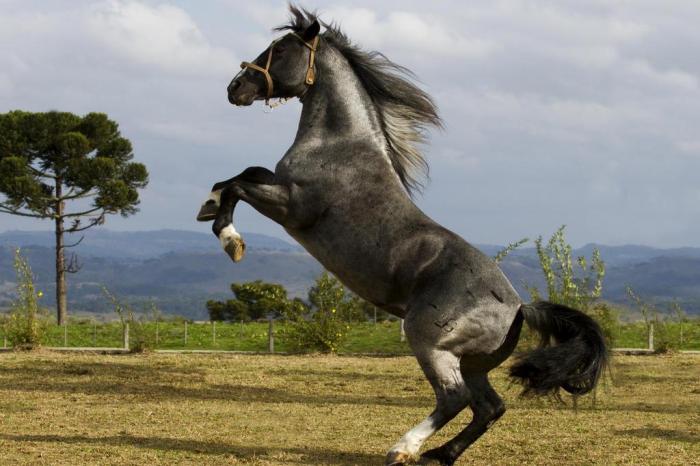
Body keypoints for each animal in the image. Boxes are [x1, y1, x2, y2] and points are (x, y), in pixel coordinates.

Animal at [198, 8, 608, 466]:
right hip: (471, 362)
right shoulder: (281, 187)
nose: (235, 88)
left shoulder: (293, 207)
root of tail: (520, 307)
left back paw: (403, 448)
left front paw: (230, 239)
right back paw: (440, 455)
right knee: (489, 406)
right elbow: (241, 175)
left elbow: (240, 185)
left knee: (455, 398)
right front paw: (208, 207)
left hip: (429, 341)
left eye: (282, 50)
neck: (339, 145)